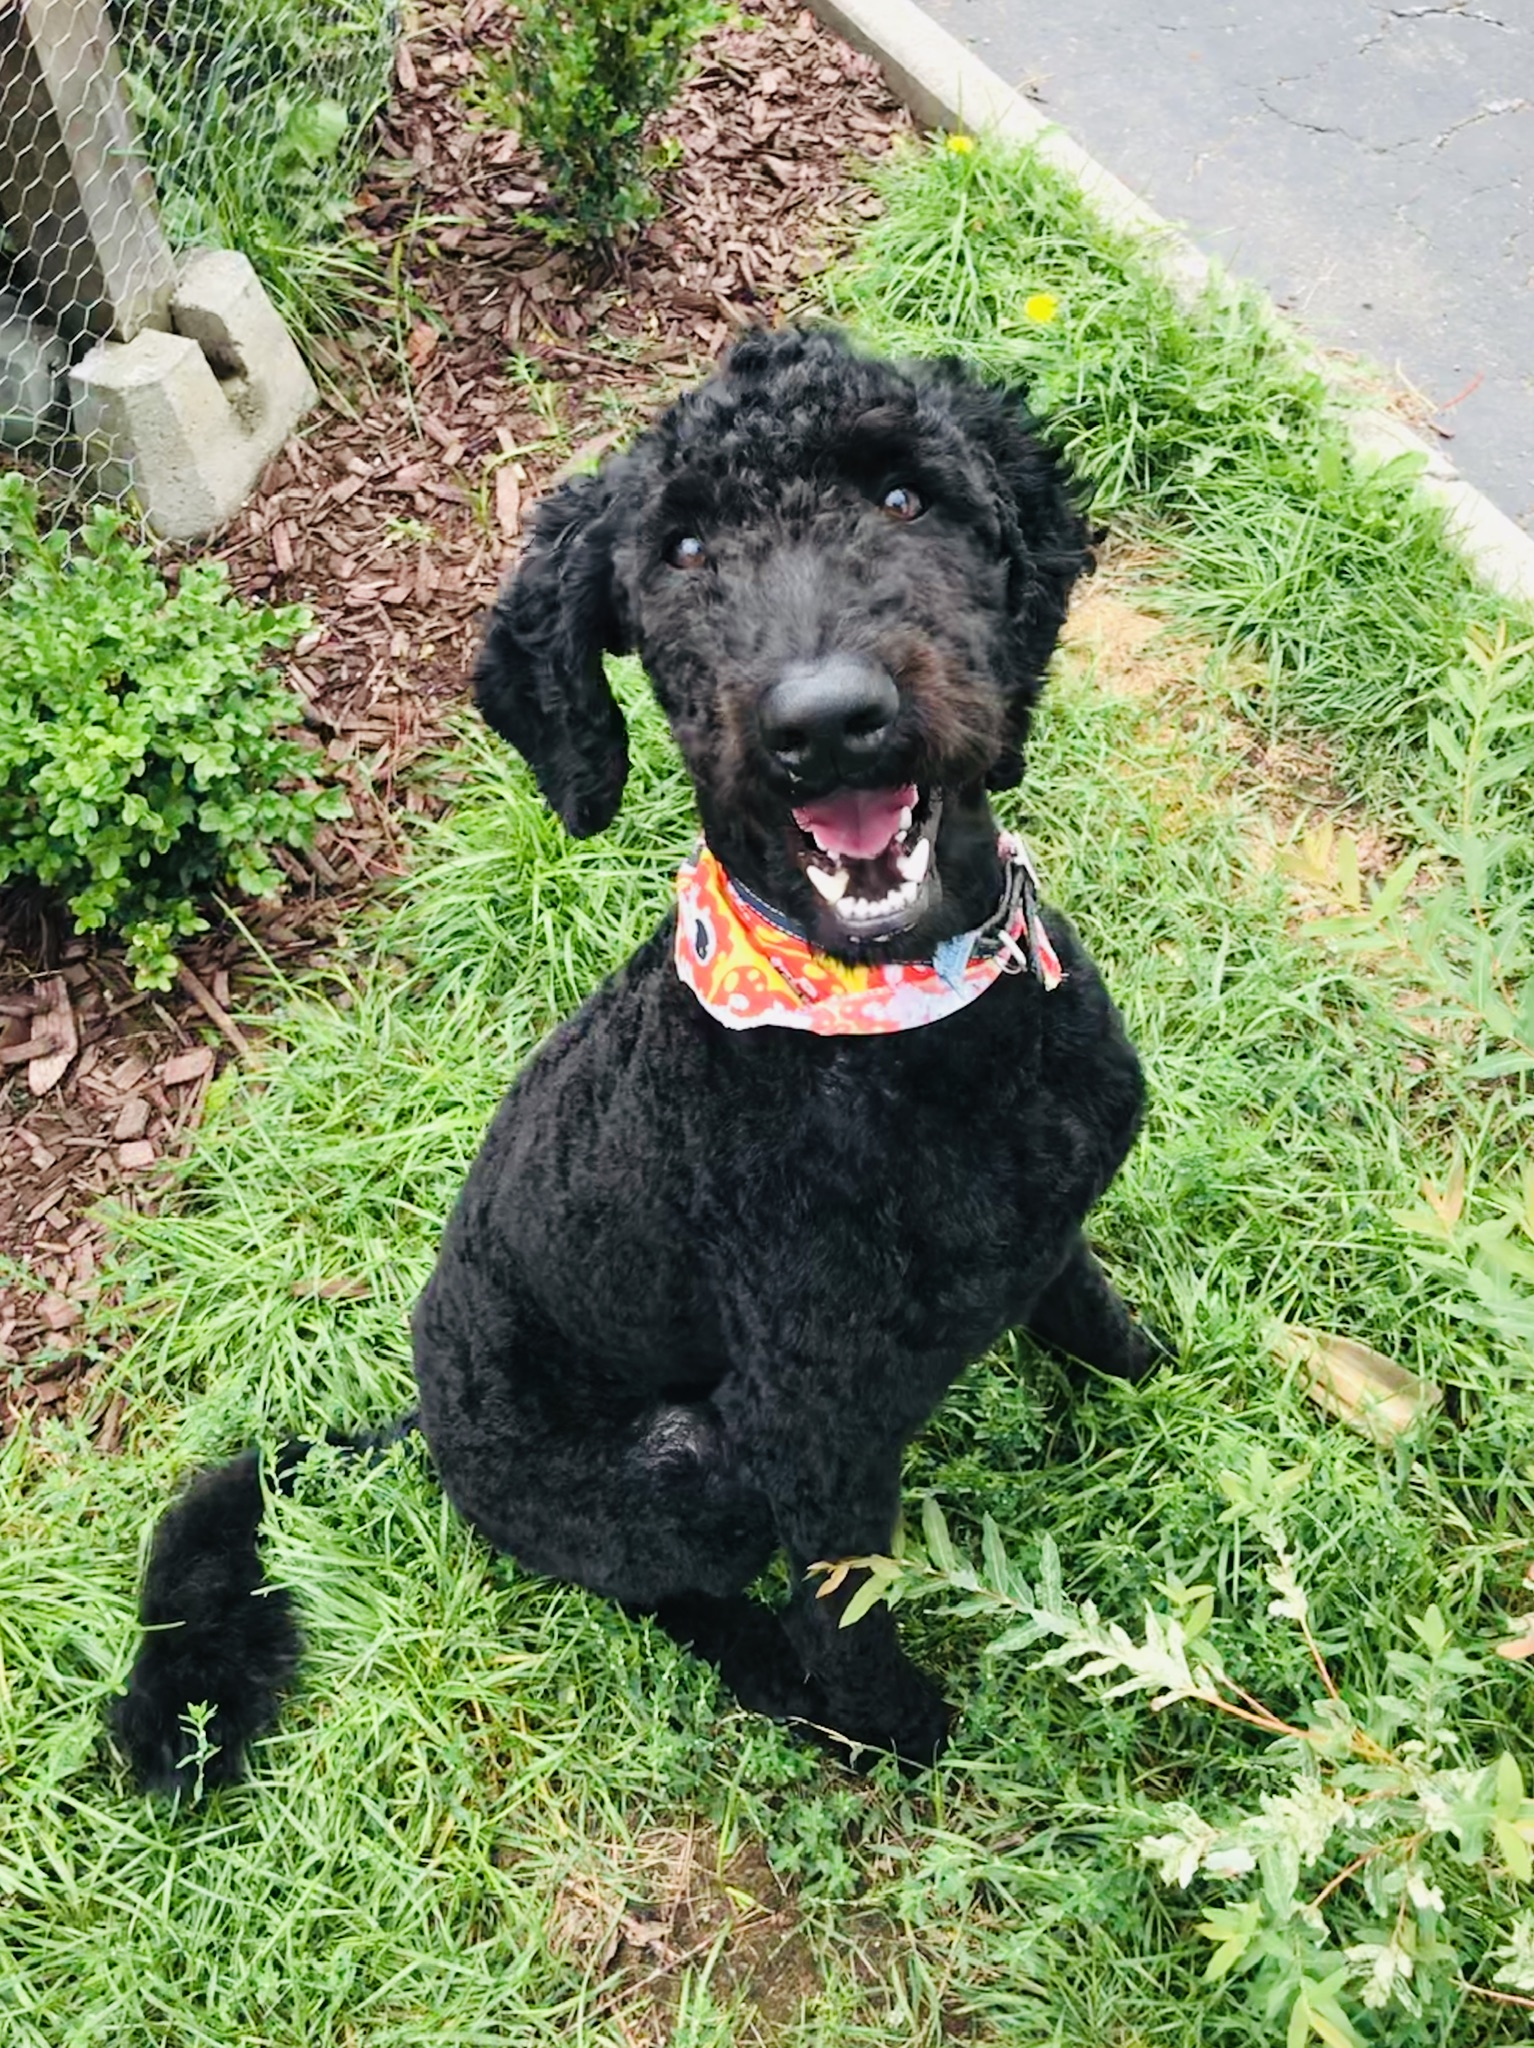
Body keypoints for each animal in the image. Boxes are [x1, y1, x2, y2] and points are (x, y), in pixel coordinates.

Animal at [113, 326, 1161, 1795]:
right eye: (682, 552)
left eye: (906, 497)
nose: (824, 721)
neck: (907, 1030)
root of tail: (424, 1427)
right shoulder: (810, 1426)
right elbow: (846, 1606)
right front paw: (898, 1732)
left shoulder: (1047, 1224)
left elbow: (1092, 1314)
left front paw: (1166, 1390)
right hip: (679, 1469)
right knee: (679, 1599)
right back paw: (786, 1691)